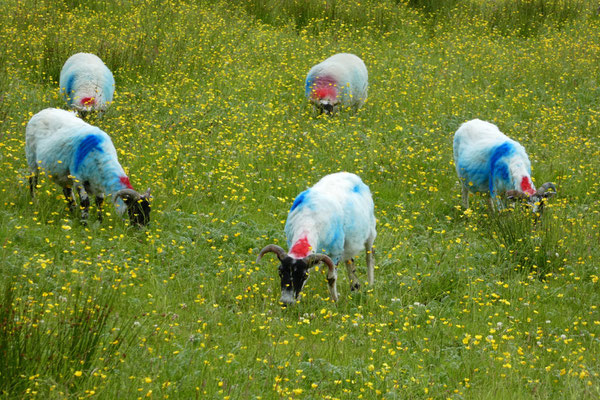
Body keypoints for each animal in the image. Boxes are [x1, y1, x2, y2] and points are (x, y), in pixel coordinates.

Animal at [256, 170, 376, 304]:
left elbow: (331, 278)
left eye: (304, 275)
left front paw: (335, 301)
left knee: (369, 257)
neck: (308, 221)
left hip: (370, 231)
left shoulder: (336, 253)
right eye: (280, 271)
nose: (286, 302)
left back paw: (370, 285)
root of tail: (349, 174)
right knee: (350, 261)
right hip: (348, 243)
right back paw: (355, 287)